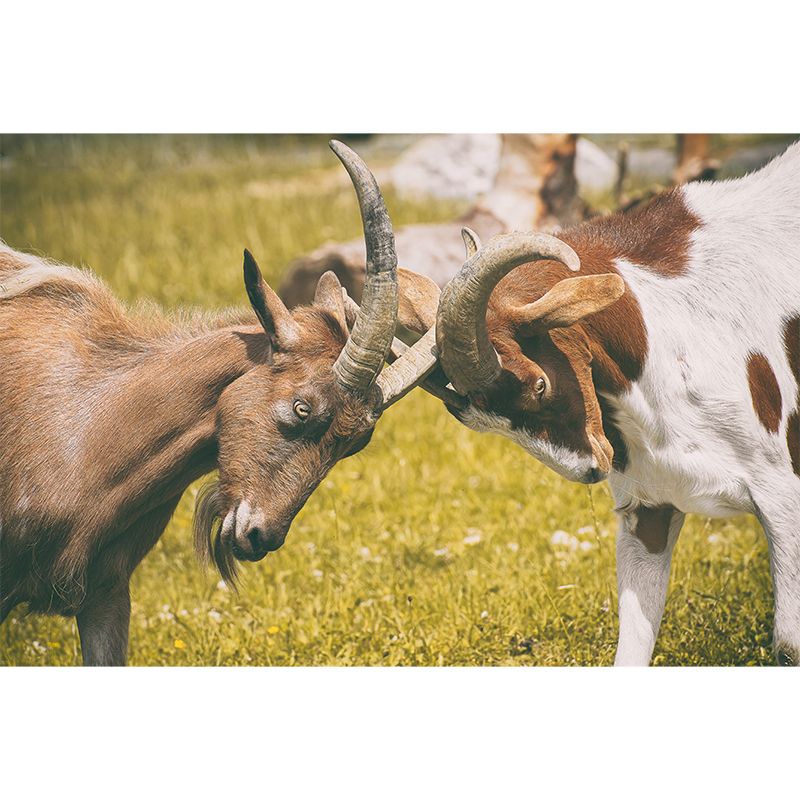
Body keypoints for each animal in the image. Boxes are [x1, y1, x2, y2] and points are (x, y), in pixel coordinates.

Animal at [431, 142, 800, 665]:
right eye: (481, 420)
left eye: (539, 385)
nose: (590, 468)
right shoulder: (648, 505)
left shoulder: (782, 496)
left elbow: (787, 643)